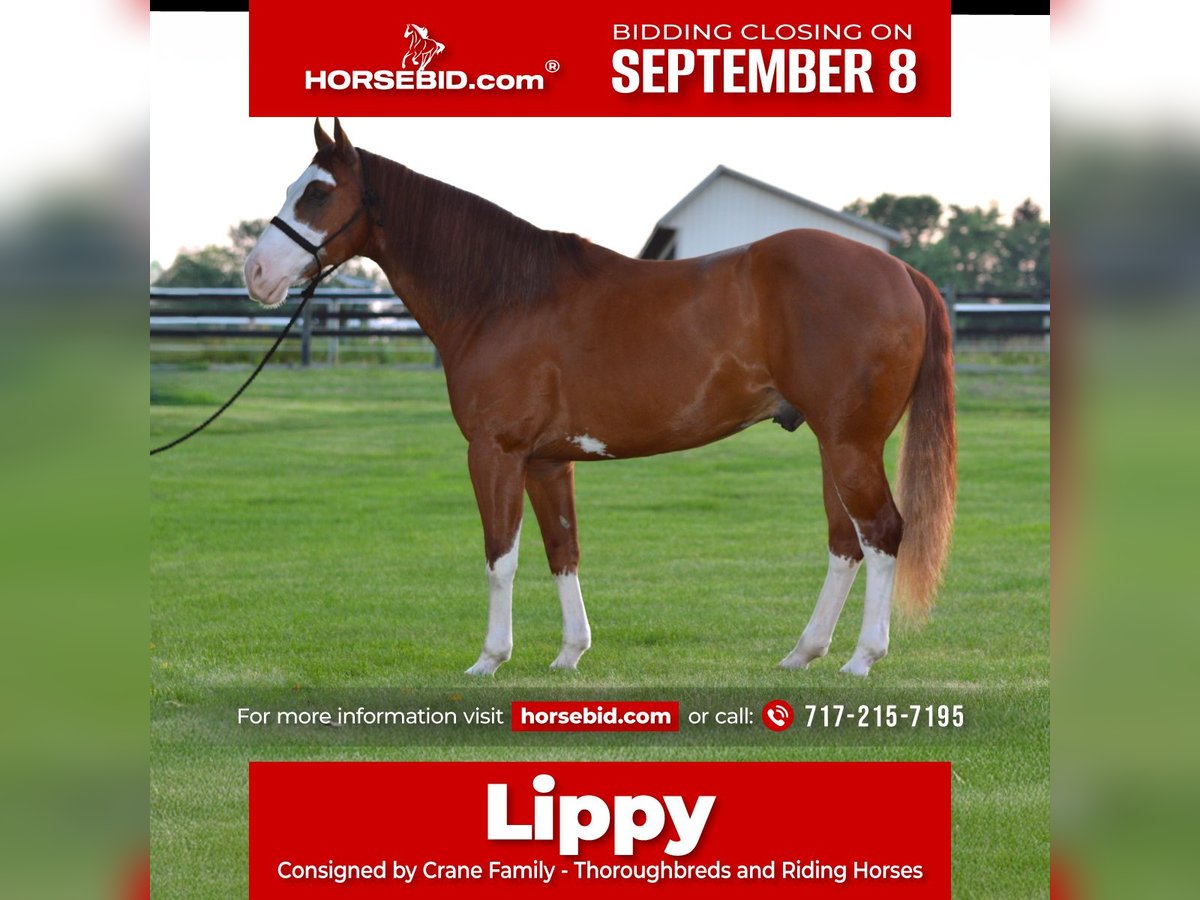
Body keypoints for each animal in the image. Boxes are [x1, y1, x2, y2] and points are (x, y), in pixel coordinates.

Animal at [244, 119, 956, 677]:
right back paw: (803, 653)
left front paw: (489, 659)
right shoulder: (546, 462)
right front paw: (569, 653)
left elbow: (499, 557)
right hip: (835, 444)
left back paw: (862, 658)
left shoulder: (495, 453)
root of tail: (902, 270)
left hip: (850, 443)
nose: (255, 273)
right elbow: (562, 551)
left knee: (882, 533)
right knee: (846, 542)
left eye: (317, 191)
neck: (503, 297)